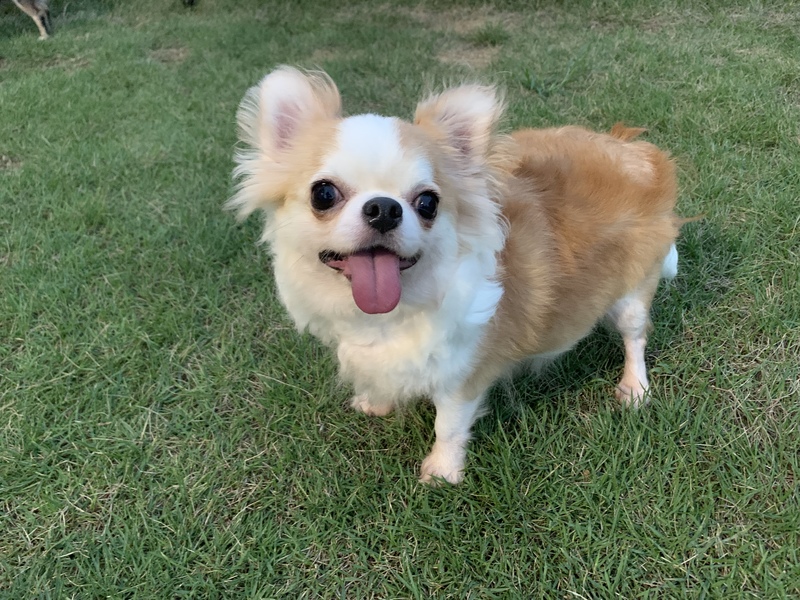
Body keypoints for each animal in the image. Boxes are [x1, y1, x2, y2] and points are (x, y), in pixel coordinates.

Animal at [228, 67, 682, 484]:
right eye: (323, 194)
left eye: (428, 202)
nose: (383, 208)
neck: (395, 311)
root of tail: (634, 151)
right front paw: (377, 401)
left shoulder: (463, 373)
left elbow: (447, 425)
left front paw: (442, 472)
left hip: (632, 292)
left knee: (635, 337)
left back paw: (634, 387)